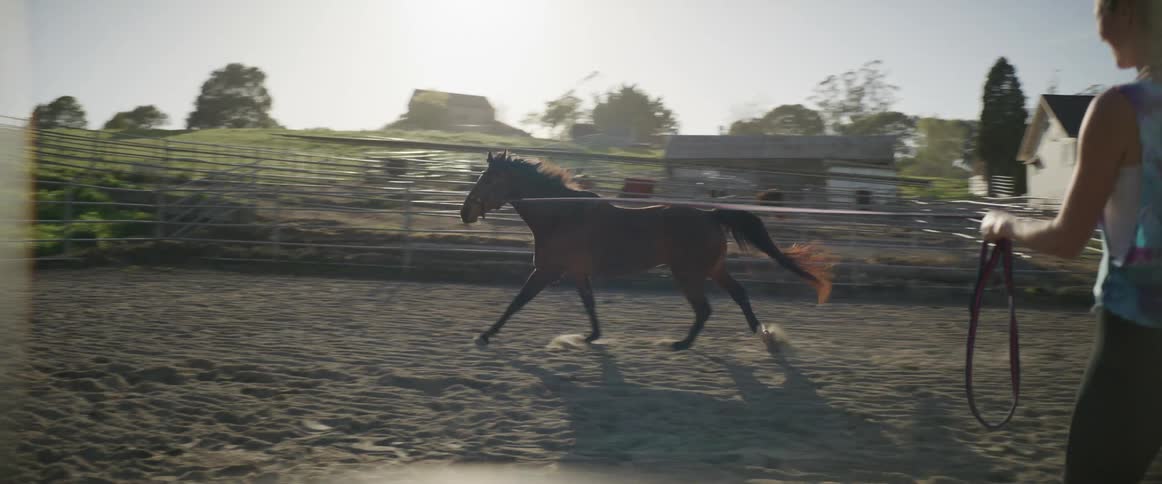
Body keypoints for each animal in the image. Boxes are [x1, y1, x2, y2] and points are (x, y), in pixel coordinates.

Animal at [459, 151, 835, 350]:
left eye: (487, 180)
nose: (465, 213)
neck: (562, 214)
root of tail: (711, 214)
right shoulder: (577, 272)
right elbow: (589, 304)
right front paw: (591, 336)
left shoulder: (547, 270)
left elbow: (517, 302)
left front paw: (485, 335)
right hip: (713, 269)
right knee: (739, 294)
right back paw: (764, 335)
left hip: (688, 274)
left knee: (705, 309)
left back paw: (682, 344)